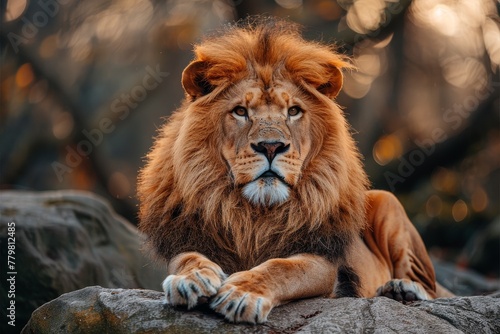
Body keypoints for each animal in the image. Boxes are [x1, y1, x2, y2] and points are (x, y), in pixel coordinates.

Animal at [136, 17, 450, 324]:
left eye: (293, 111)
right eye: (240, 111)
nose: (271, 146)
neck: (255, 214)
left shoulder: (322, 260)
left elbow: (281, 267)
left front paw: (242, 293)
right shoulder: (189, 238)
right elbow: (187, 258)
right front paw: (191, 279)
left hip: (387, 202)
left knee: (432, 288)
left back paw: (401, 289)